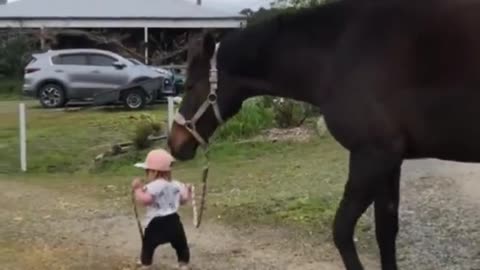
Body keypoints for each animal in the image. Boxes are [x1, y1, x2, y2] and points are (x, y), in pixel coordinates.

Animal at [168, 1, 480, 268]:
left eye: (190, 86)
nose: (175, 143)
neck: (342, 52)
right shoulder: (391, 161)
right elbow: (386, 231)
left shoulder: (372, 156)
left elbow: (341, 230)